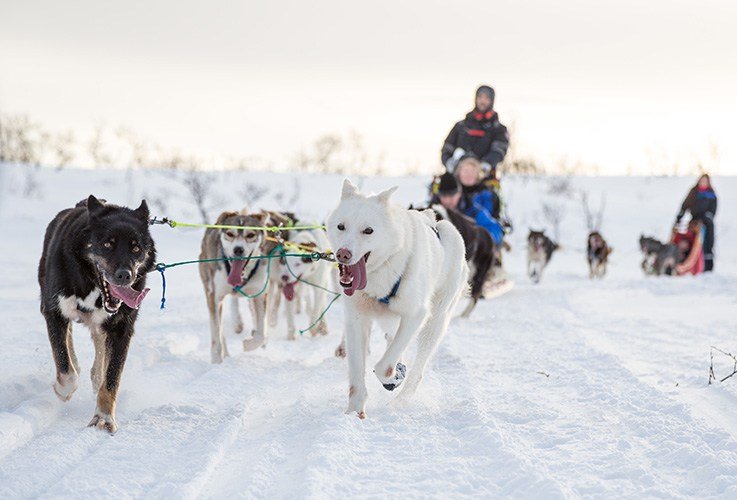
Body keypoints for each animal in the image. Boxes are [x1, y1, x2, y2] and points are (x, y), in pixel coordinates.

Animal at [326, 180, 466, 418]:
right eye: (341, 226)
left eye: (368, 230)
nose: (343, 254)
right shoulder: (356, 319)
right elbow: (356, 373)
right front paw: (354, 412)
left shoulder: (416, 315)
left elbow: (385, 366)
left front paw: (395, 375)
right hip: (390, 322)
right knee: (392, 340)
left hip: (434, 325)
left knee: (417, 369)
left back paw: (401, 399)